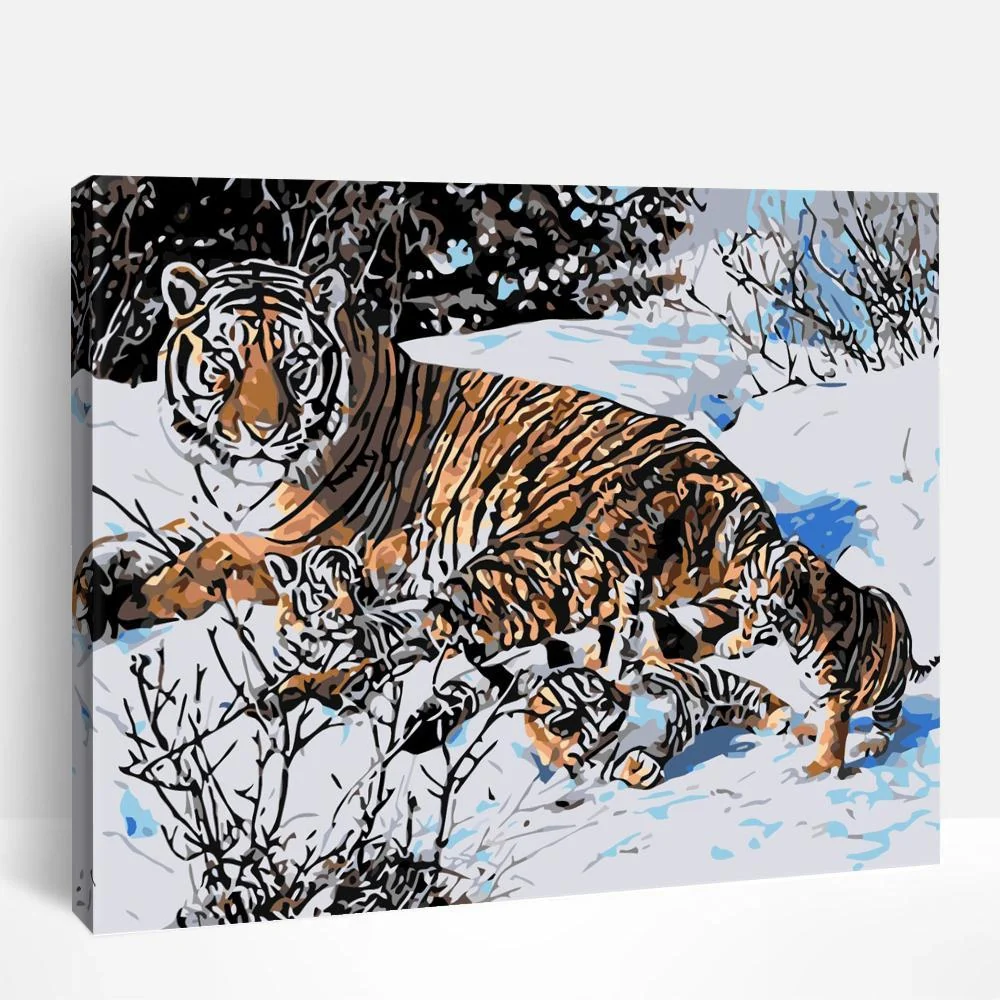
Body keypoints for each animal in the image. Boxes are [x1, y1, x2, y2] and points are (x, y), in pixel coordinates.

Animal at [71, 258, 901, 779]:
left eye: (294, 363)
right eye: (226, 360)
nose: (263, 433)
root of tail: (745, 503)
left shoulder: (298, 541)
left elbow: (206, 559)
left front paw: (130, 603)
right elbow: (154, 537)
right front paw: (103, 574)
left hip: (512, 558)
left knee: (419, 642)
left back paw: (290, 692)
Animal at [718, 538, 939, 777]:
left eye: (754, 607)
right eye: (742, 607)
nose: (723, 644)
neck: (793, 636)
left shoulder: (840, 689)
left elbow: (831, 731)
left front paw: (821, 768)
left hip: (889, 690)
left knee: (887, 720)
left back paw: (873, 741)